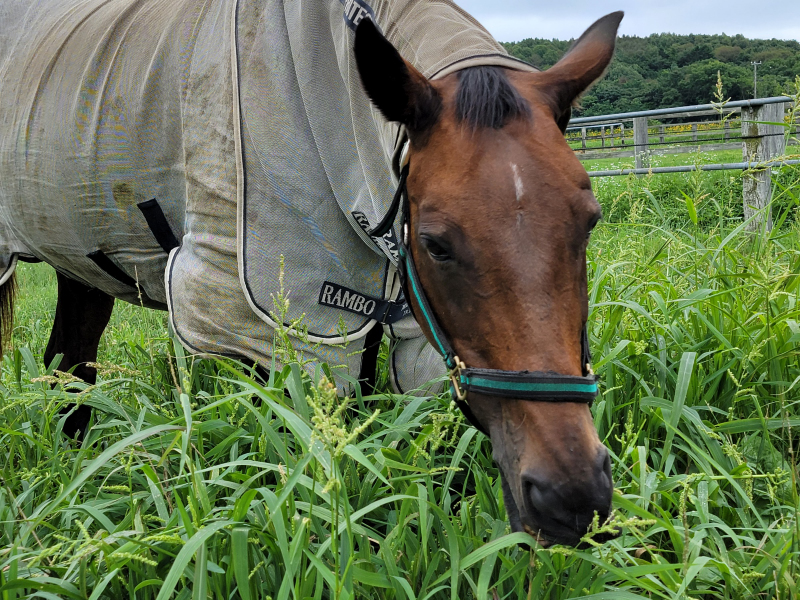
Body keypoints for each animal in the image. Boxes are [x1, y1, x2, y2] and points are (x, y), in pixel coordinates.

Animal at [0, 1, 624, 548]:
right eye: (435, 244)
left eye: (588, 221)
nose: (572, 496)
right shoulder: (255, 329)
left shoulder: (378, 320)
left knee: (69, 369)